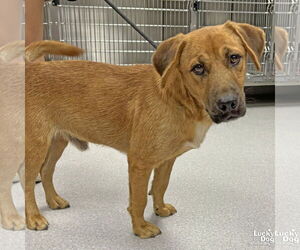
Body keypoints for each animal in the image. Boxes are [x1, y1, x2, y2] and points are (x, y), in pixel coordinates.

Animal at [25, 21, 264, 238]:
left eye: (234, 58)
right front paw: (140, 228)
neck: (178, 99)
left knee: (46, 172)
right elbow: (138, 199)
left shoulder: (167, 160)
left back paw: (53, 201)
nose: (228, 104)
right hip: (36, 147)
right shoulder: (139, 162)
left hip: (58, 141)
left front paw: (160, 209)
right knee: (27, 184)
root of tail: (30, 69)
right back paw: (33, 218)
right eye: (198, 68)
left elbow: (159, 186)